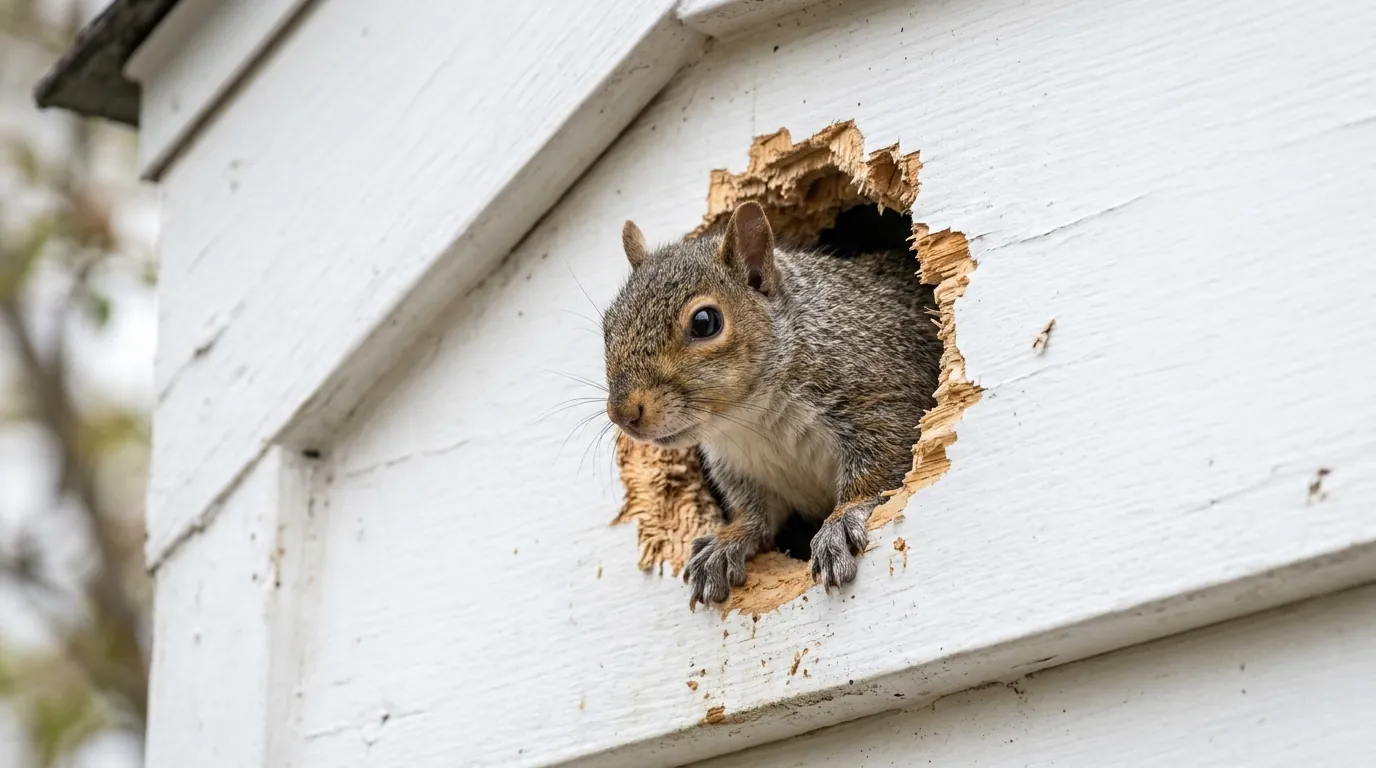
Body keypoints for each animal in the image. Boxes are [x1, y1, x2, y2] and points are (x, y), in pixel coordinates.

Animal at [602, 201, 941, 607]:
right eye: (607, 327)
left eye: (705, 322)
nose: (623, 413)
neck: (753, 418)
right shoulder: (740, 466)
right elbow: (755, 514)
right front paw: (729, 539)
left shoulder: (883, 395)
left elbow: (880, 468)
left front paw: (842, 520)